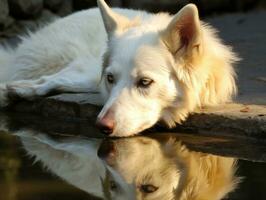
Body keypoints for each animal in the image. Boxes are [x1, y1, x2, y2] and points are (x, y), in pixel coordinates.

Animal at [0, 0, 237, 137]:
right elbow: (51, 80)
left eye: (145, 82)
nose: (101, 127)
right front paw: (15, 89)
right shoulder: (92, 73)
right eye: (111, 78)